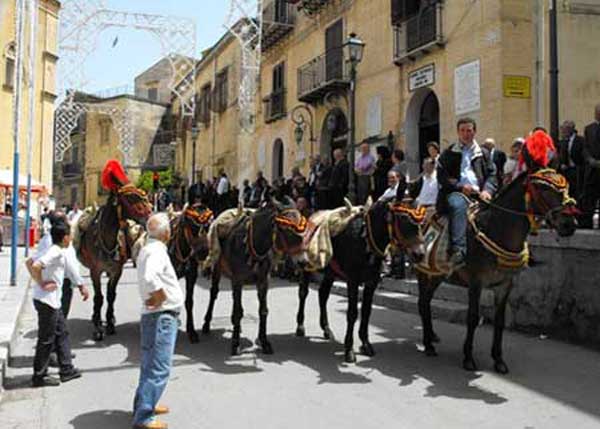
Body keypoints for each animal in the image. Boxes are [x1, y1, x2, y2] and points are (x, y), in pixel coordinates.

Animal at [168, 202, 214, 342]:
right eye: (192, 226)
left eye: (208, 225)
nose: (203, 252)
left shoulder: (191, 276)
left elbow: (189, 302)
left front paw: (191, 330)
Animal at [202, 197, 308, 354]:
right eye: (287, 229)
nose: (303, 262)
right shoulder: (238, 280)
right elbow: (238, 312)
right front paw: (235, 343)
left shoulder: (263, 281)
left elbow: (263, 310)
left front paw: (264, 342)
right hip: (217, 269)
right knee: (214, 293)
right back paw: (207, 324)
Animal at [296, 182, 426, 362]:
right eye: (402, 218)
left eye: (422, 220)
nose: (419, 254)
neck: (366, 240)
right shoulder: (353, 280)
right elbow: (352, 313)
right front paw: (349, 349)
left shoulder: (372, 282)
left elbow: (366, 312)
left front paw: (365, 344)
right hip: (307, 267)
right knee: (303, 293)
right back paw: (300, 326)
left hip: (330, 272)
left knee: (323, 295)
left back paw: (326, 329)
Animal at [418, 169, 576, 372]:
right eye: (544, 188)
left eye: (566, 187)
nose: (569, 224)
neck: (496, 230)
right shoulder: (475, 283)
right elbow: (473, 317)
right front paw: (468, 358)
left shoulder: (505, 285)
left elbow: (499, 321)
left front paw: (498, 359)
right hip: (423, 272)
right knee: (423, 303)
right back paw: (428, 344)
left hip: (437, 274)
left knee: (427, 301)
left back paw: (431, 337)